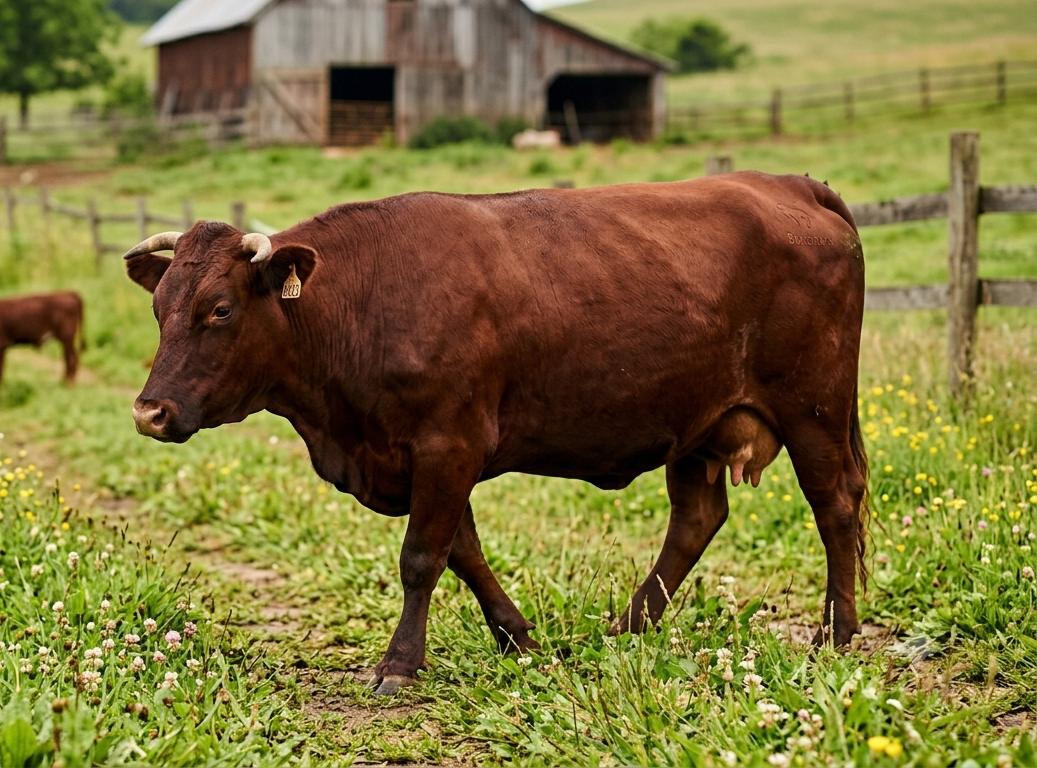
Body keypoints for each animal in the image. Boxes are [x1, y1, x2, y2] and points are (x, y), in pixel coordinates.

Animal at [124, 172, 869, 695]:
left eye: (219, 309)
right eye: (158, 308)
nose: (148, 413)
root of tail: (788, 184)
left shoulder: (446, 443)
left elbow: (423, 557)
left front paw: (400, 664)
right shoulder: (425, 457)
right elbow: (464, 553)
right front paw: (519, 639)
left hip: (814, 408)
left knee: (833, 507)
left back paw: (836, 633)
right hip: (697, 422)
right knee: (696, 520)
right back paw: (625, 629)